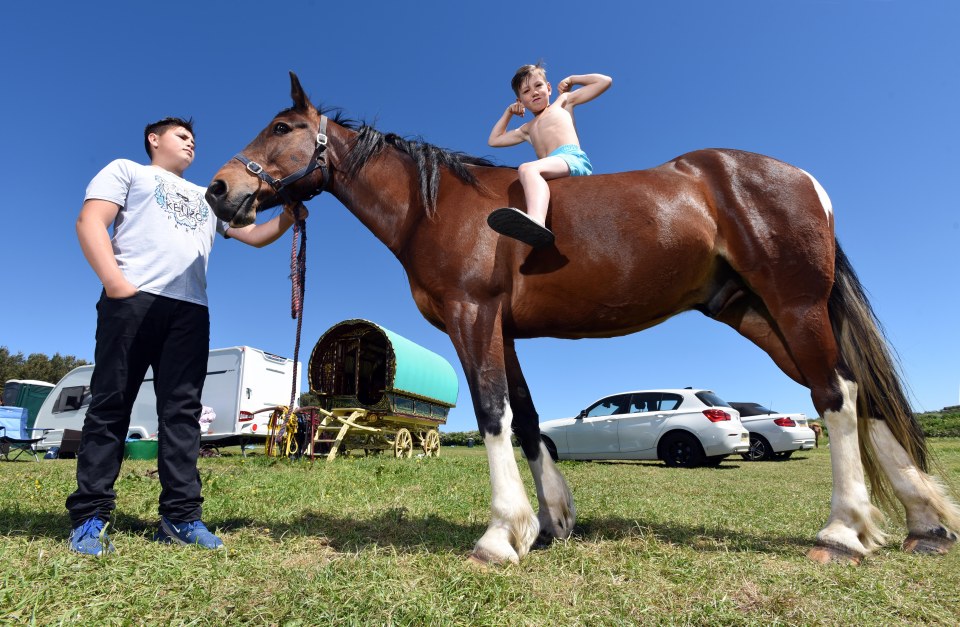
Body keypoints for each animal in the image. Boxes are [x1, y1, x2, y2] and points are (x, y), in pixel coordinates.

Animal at [202, 72, 952, 564]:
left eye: (282, 128)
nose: (219, 190)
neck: (441, 207)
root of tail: (806, 181)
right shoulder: (502, 329)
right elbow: (528, 419)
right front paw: (550, 521)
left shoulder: (473, 317)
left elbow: (493, 414)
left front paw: (500, 535)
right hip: (756, 313)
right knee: (861, 393)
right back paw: (922, 521)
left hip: (792, 306)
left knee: (836, 395)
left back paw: (844, 530)